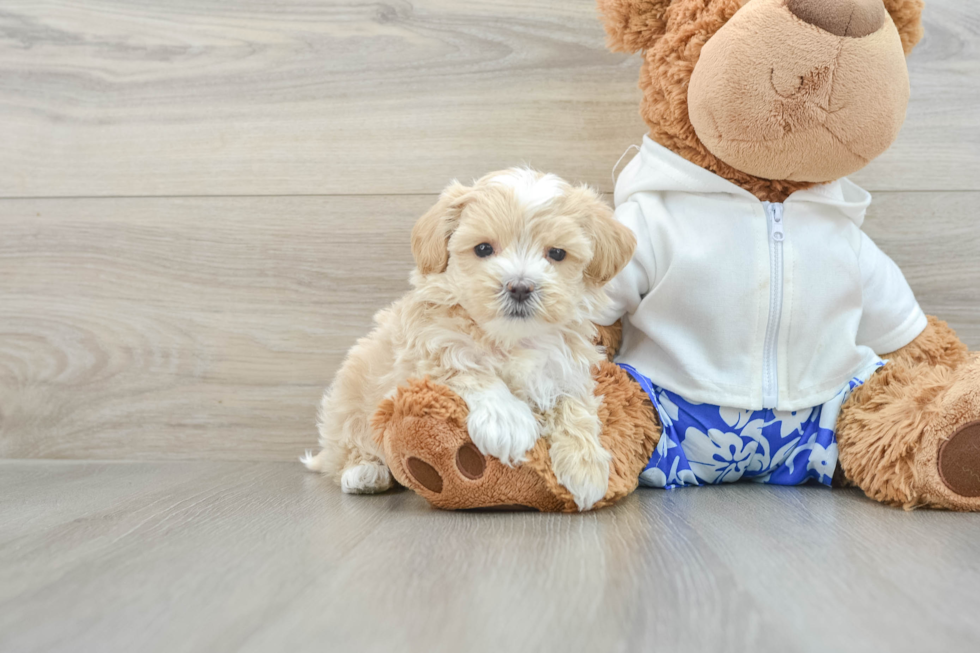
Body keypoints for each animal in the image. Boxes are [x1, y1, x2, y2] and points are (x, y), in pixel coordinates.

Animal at [304, 167, 636, 510]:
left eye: (557, 253)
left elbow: (573, 404)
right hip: (348, 402)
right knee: (347, 446)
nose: (520, 287)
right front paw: (509, 423)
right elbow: (467, 367)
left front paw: (587, 467)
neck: (510, 339)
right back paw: (364, 472)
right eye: (483, 249)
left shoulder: (565, 365)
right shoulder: (429, 348)